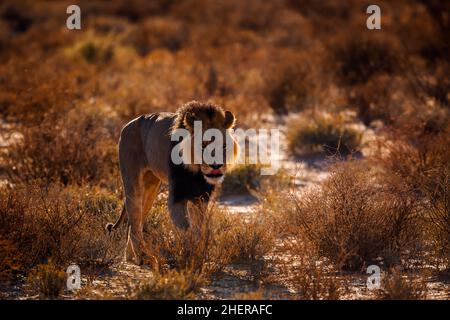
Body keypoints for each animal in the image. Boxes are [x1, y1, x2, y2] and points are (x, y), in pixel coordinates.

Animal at [106, 102, 239, 264]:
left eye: (224, 146)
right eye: (203, 145)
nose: (216, 166)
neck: (197, 172)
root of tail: (128, 124)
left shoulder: (201, 199)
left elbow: (199, 229)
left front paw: (199, 255)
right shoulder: (177, 197)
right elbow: (186, 230)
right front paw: (189, 256)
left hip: (151, 187)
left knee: (134, 224)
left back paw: (131, 257)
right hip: (132, 181)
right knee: (135, 221)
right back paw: (143, 257)